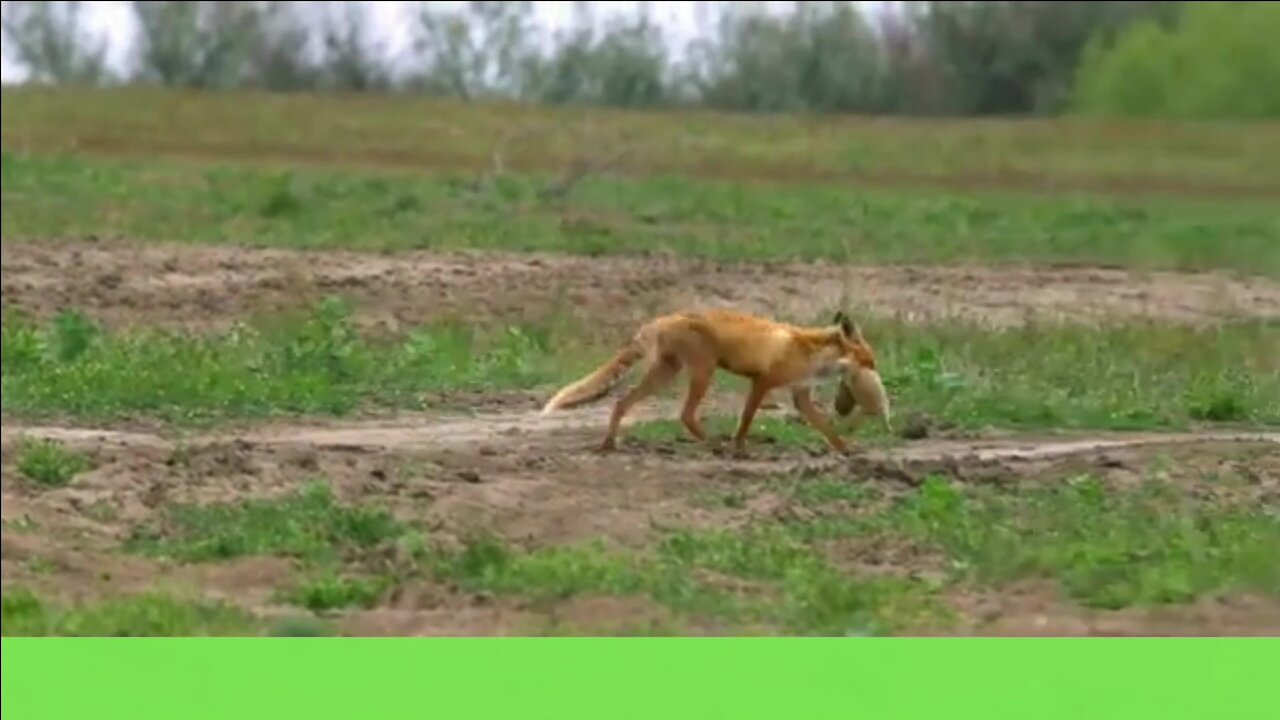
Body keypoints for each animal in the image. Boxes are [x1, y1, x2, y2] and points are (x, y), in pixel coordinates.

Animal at [540, 308, 882, 457]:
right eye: (869, 360)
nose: (877, 372)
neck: (807, 351)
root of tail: (657, 320)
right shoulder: (762, 382)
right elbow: (745, 420)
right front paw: (739, 448)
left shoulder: (800, 395)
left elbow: (825, 427)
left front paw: (846, 449)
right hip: (704, 372)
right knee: (685, 414)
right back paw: (713, 444)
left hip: (666, 373)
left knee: (622, 402)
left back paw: (609, 443)